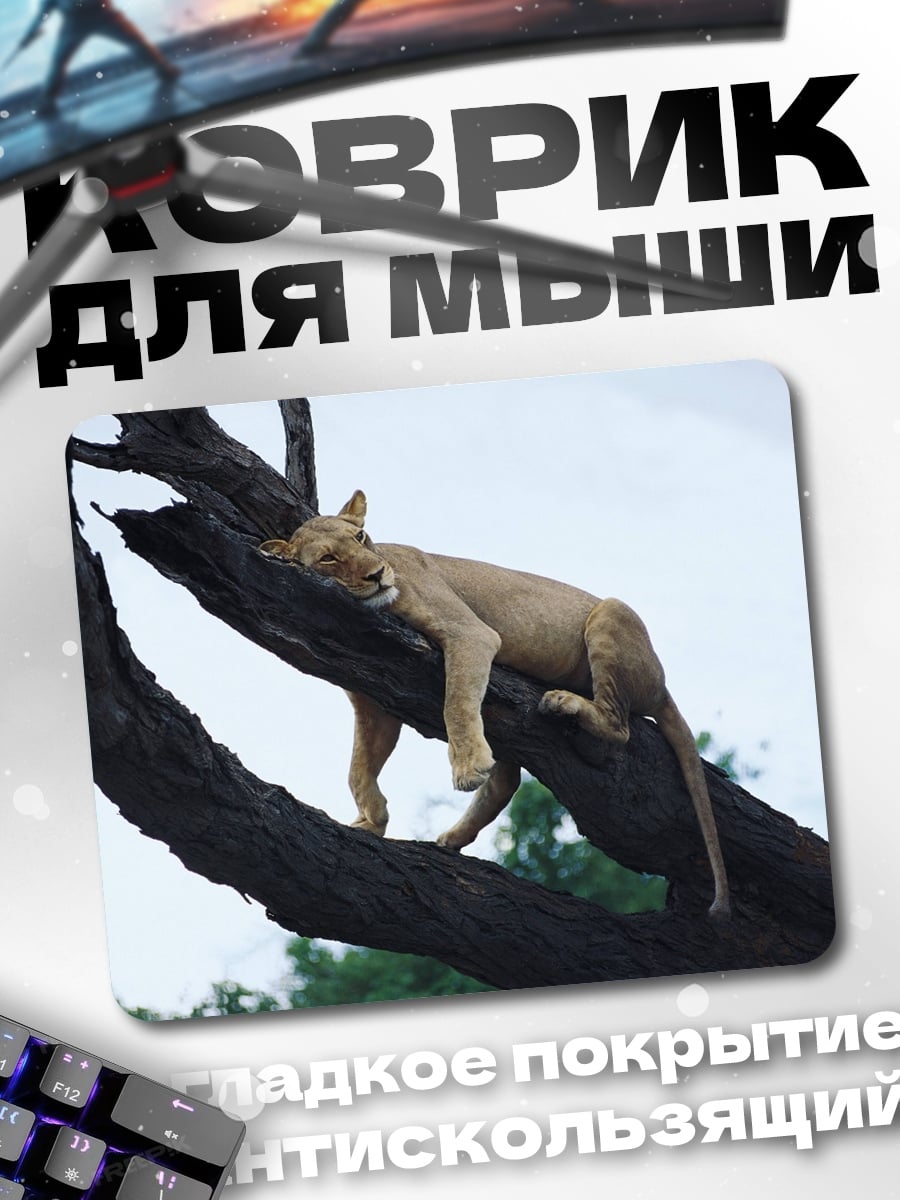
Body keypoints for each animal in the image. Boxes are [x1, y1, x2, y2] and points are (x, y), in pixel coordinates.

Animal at [260, 490, 730, 918]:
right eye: (328, 559)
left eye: (360, 537)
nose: (377, 575)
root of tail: (662, 681)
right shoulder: (374, 704)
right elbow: (358, 768)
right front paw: (372, 820)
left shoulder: (470, 633)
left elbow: (455, 702)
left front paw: (467, 768)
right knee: (509, 779)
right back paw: (452, 838)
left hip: (612, 613)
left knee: (620, 727)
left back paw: (564, 706)